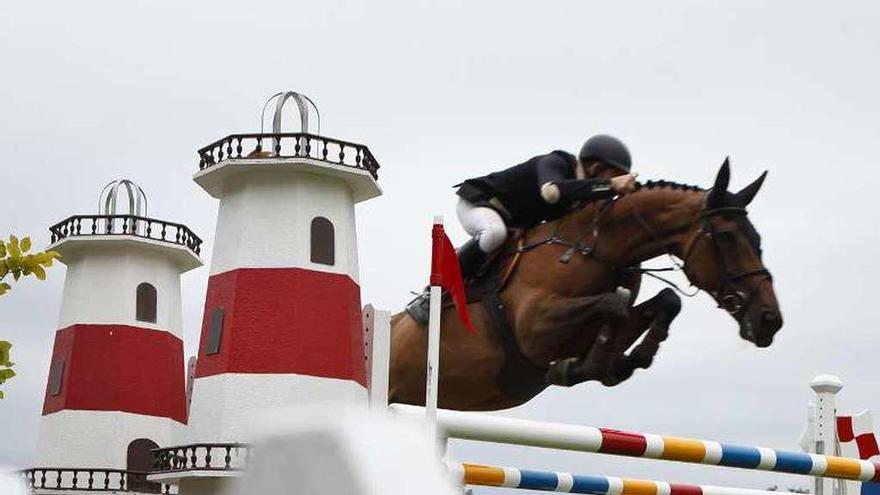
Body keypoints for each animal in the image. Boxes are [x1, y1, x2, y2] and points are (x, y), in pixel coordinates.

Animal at [392, 162, 784, 410]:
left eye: (757, 239)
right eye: (728, 237)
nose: (770, 320)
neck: (599, 247)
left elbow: (665, 300)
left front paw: (627, 360)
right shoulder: (534, 330)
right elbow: (614, 305)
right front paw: (590, 366)